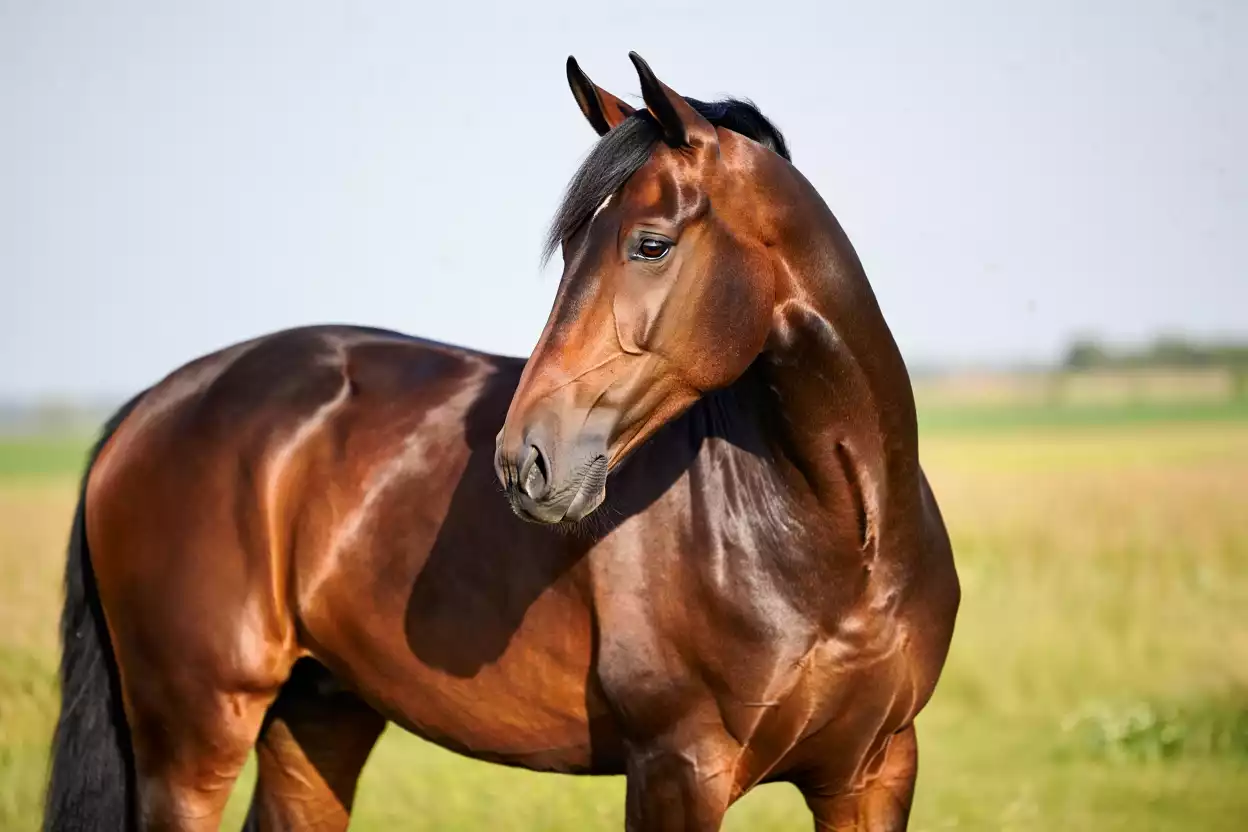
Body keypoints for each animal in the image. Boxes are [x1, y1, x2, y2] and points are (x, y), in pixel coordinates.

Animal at [44, 53, 959, 831]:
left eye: (650, 244)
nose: (526, 461)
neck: (838, 542)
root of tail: (152, 405)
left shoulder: (874, 773)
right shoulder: (677, 772)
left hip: (319, 715)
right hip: (195, 736)